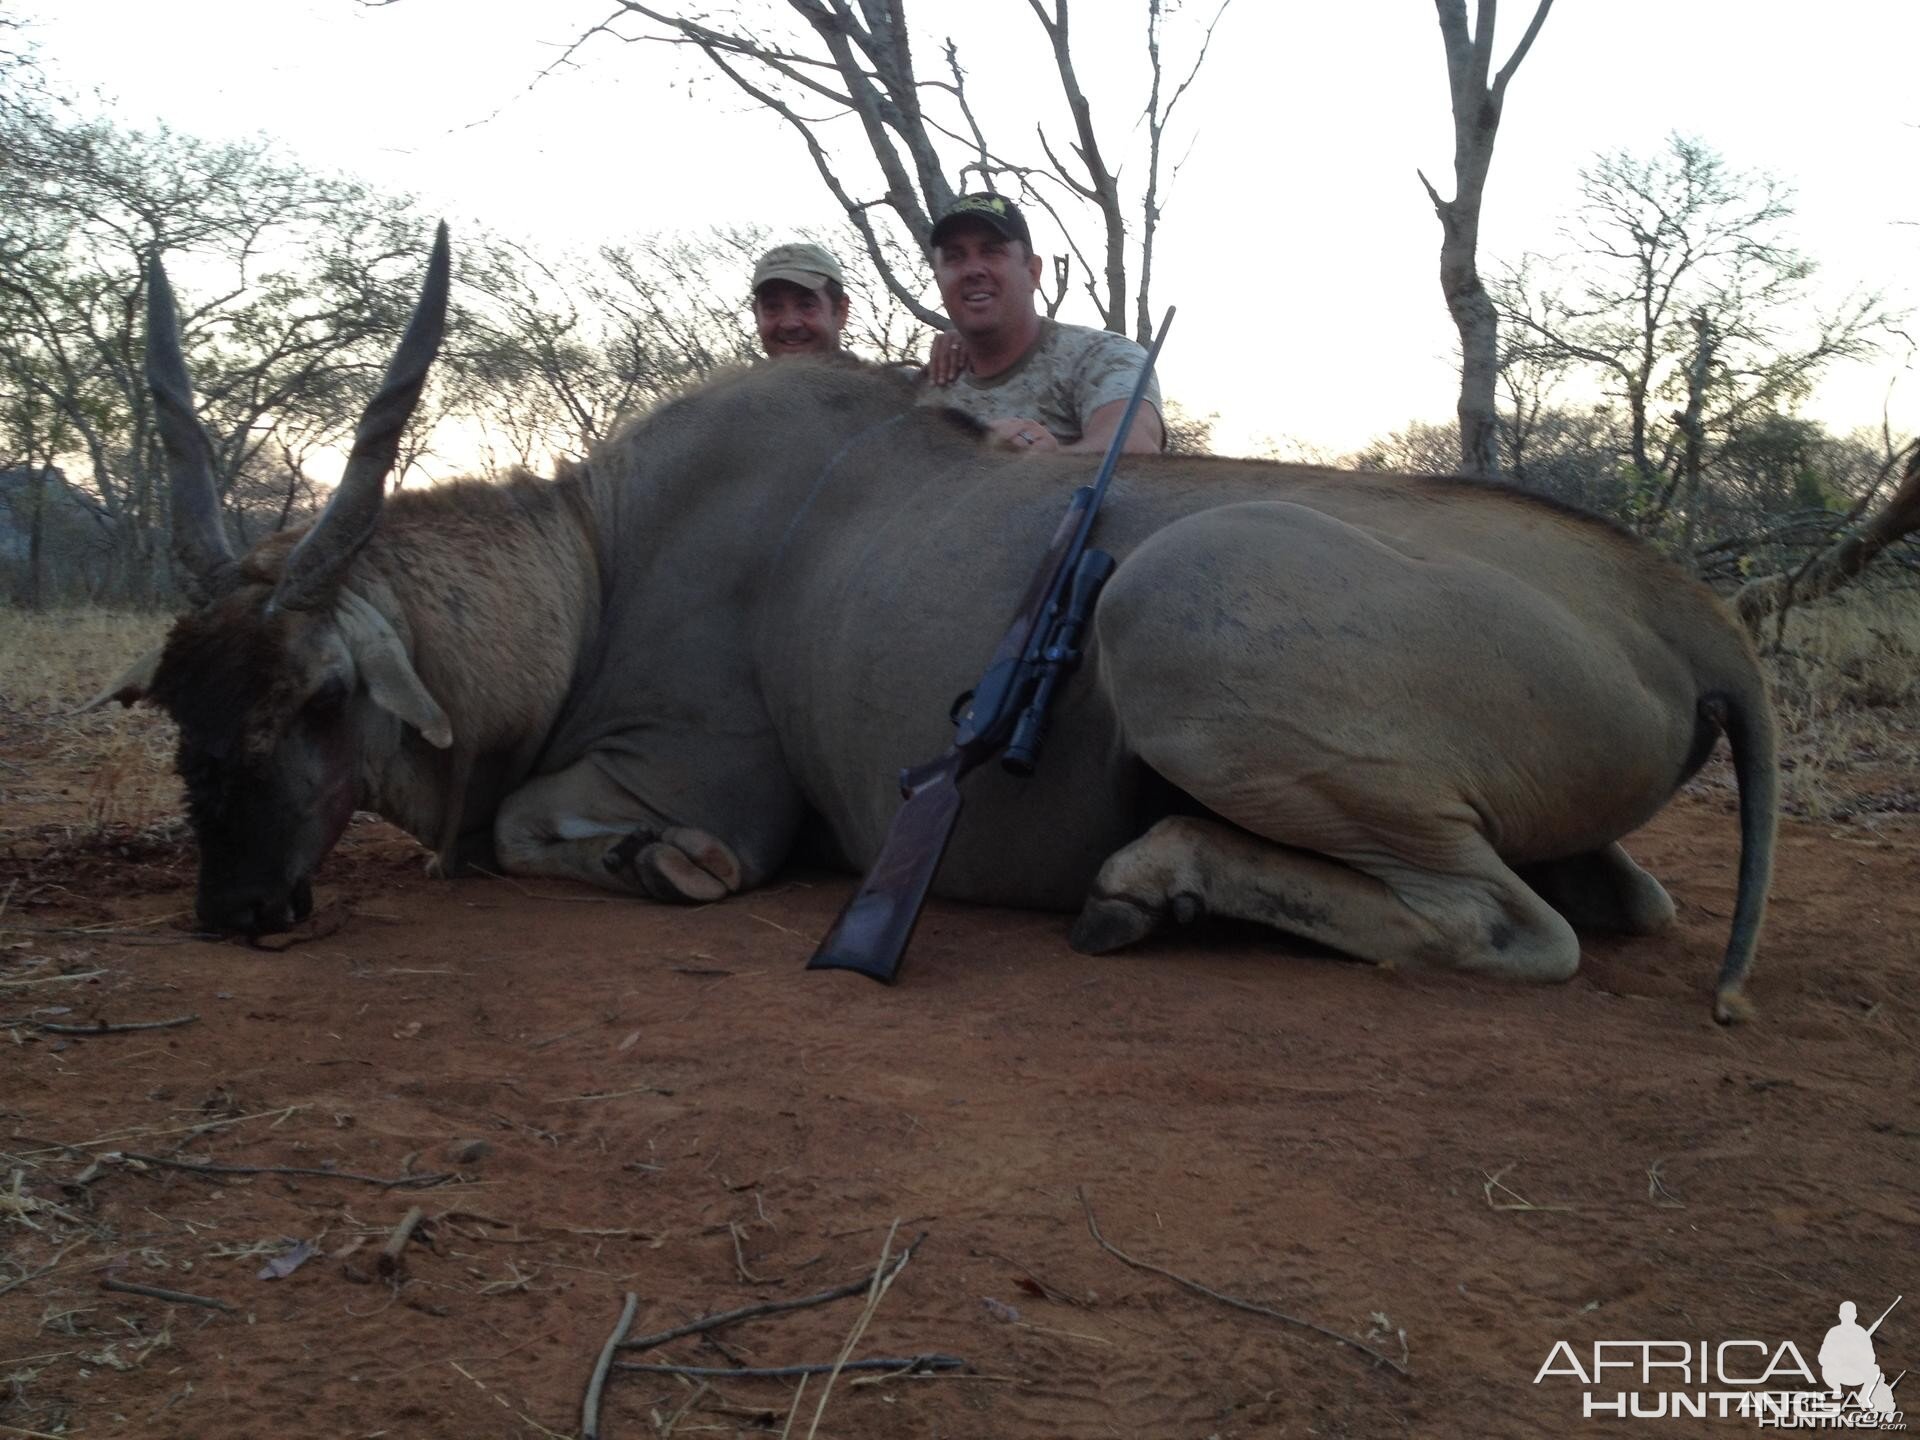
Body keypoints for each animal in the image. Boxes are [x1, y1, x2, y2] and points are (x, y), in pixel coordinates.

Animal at [105, 237, 1774, 1021]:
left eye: (319, 695)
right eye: (188, 716)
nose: (235, 907)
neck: (594, 561)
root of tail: (1692, 625)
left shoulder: (700, 783)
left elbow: (552, 834)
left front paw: (665, 869)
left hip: (1172, 611)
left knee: (1516, 927)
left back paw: (1149, 884)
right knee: (1622, 904)